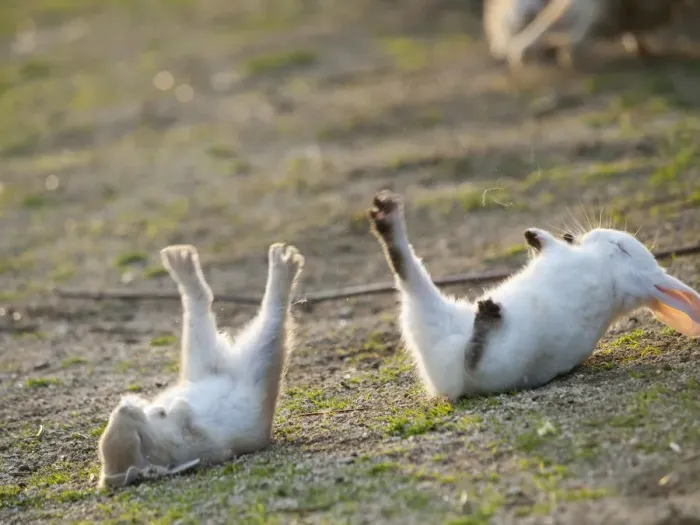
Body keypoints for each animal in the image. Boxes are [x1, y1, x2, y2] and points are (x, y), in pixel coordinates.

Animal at [97, 242, 304, 488]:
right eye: (137, 441)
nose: (125, 408)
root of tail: (229, 367)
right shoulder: (185, 442)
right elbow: (188, 426)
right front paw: (174, 410)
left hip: (201, 359)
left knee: (199, 303)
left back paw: (180, 259)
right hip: (260, 360)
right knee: (271, 312)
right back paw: (284, 261)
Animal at [367, 190, 700, 400]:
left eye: (621, 248)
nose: (593, 234)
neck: (612, 275)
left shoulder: (564, 259)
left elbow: (551, 246)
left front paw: (538, 235)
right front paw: (541, 235)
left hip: (493, 361)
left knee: (471, 358)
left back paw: (487, 315)